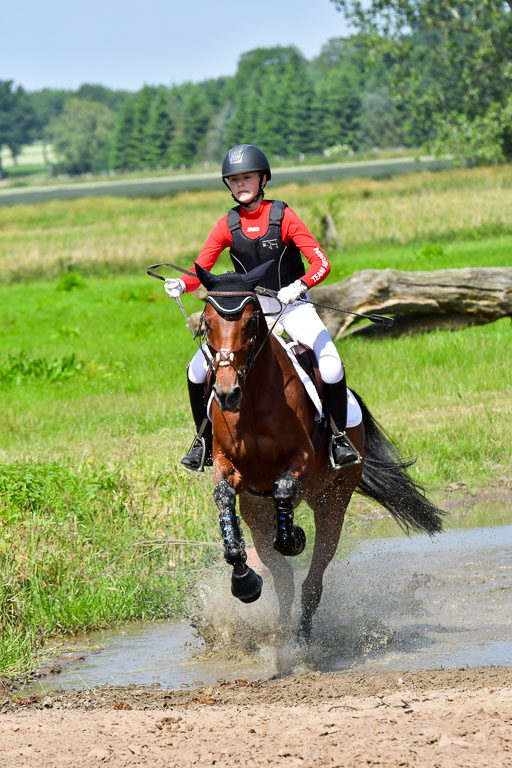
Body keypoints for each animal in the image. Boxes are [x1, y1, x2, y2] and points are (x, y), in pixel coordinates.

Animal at [193, 262, 443, 644]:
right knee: (282, 577)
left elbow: (284, 489)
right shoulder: (229, 465)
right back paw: (280, 626)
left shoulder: (302, 461)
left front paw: (294, 537)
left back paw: (301, 635)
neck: (252, 401)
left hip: (332, 502)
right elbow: (223, 496)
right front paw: (243, 580)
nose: (226, 393)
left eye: (250, 322)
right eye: (207, 322)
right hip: (256, 511)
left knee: (313, 579)